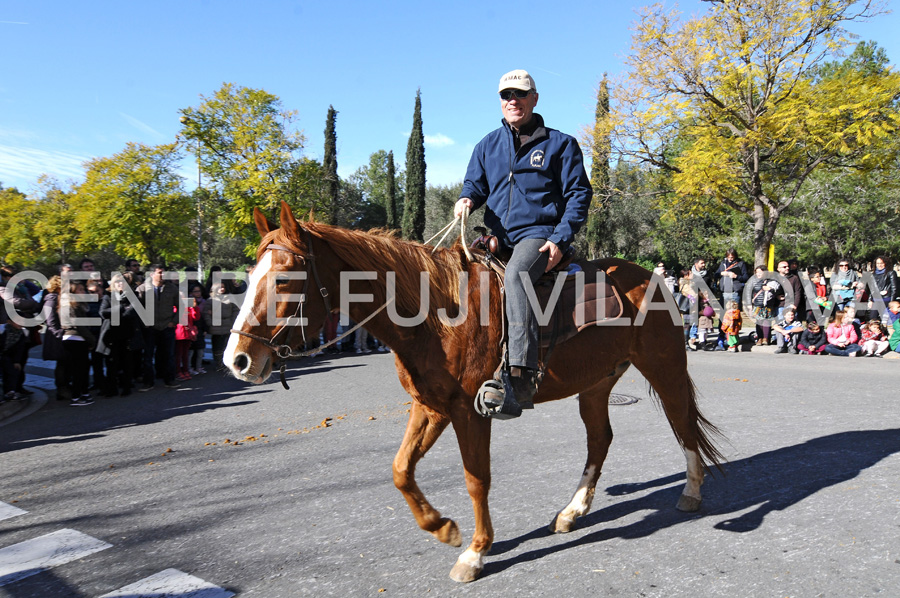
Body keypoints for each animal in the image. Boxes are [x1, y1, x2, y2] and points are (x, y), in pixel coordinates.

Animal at [225, 204, 724, 584]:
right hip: (595, 385)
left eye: (285, 278)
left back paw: (692, 492)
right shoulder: (431, 407)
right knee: (600, 440)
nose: (238, 360)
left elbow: (475, 479)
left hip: (664, 369)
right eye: (249, 275)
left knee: (683, 425)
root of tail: (655, 281)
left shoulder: (470, 411)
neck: (436, 312)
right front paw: (443, 528)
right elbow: (401, 470)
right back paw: (572, 512)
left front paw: (475, 552)